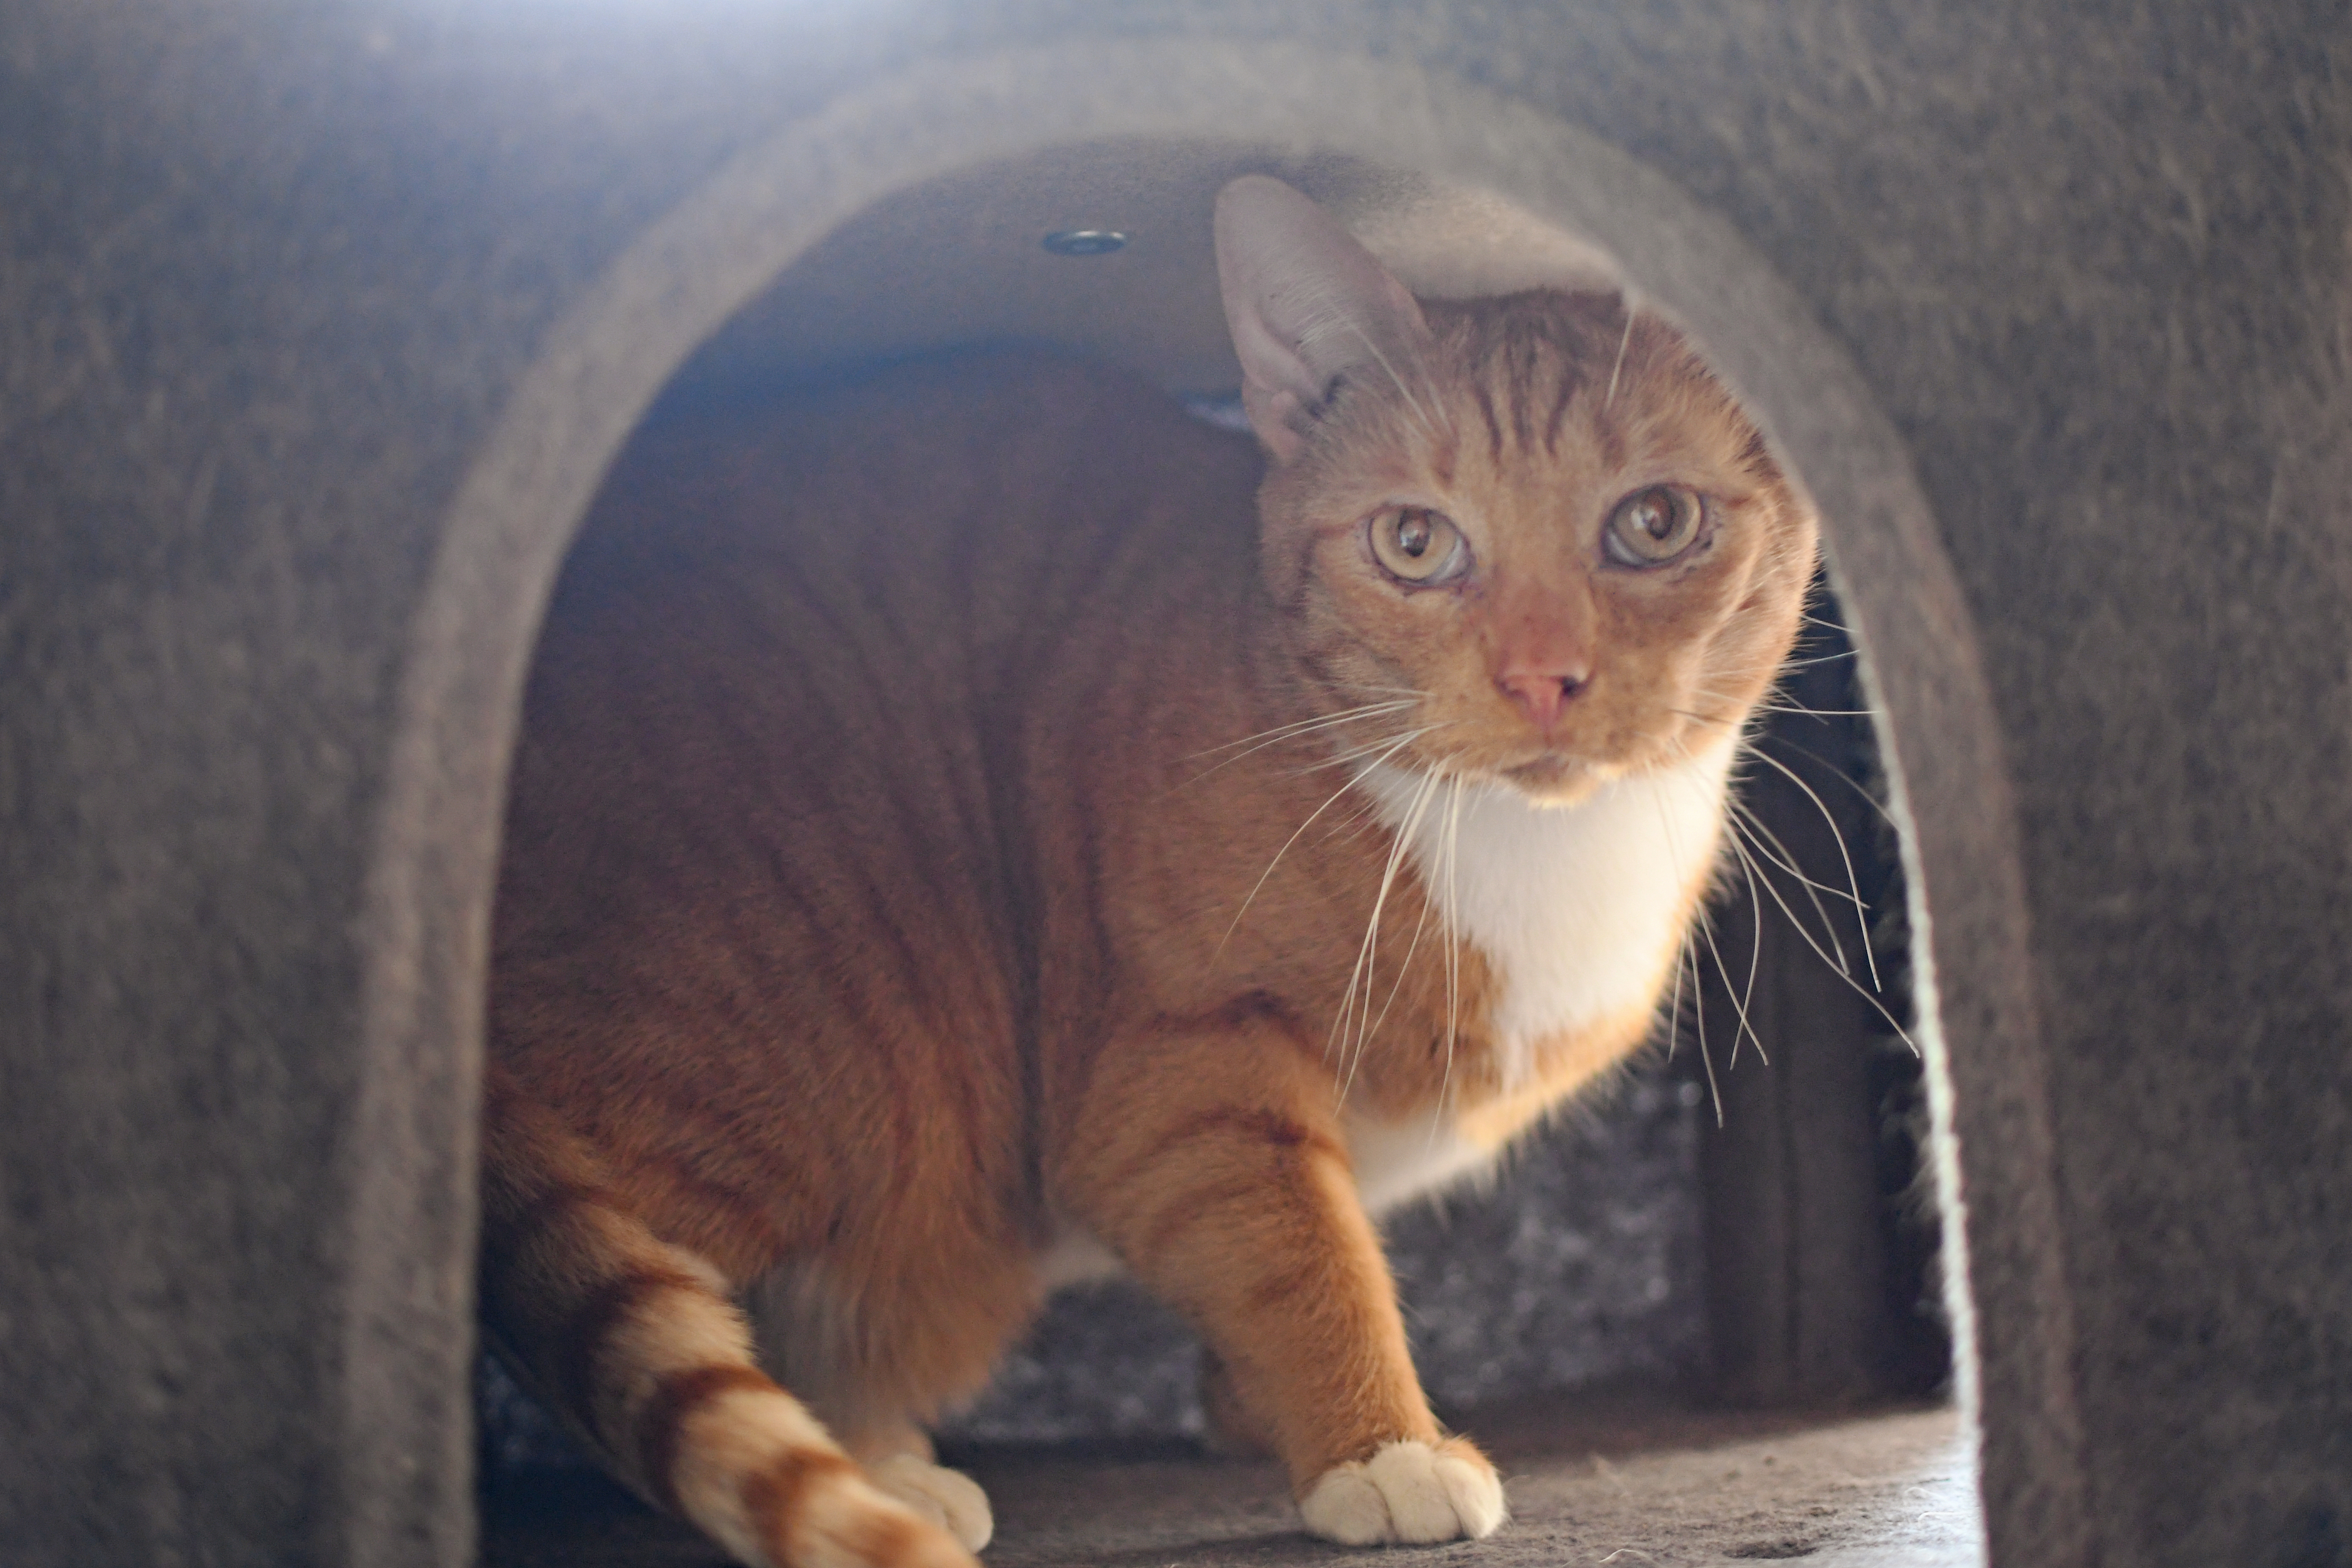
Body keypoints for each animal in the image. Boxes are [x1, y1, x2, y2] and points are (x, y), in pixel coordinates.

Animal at [482, 175, 1816, 1568]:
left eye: (1654, 522)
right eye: (1414, 543)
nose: (1541, 677)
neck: (1521, 853)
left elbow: (1330, 1234)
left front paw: (1249, 1412)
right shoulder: (1176, 1079)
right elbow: (1297, 1251)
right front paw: (1375, 1447)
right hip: (826, 1050)